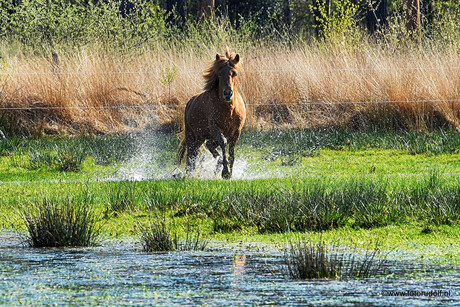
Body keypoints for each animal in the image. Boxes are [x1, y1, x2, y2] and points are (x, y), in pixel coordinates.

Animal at [178, 49, 246, 179]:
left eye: (234, 73)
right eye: (219, 74)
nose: (228, 94)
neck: (229, 110)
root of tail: (190, 102)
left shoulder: (236, 132)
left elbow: (231, 152)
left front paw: (229, 172)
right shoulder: (215, 128)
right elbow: (223, 142)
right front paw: (225, 171)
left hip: (203, 138)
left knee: (208, 146)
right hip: (193, 137)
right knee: (191, 155)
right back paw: (189, 174)